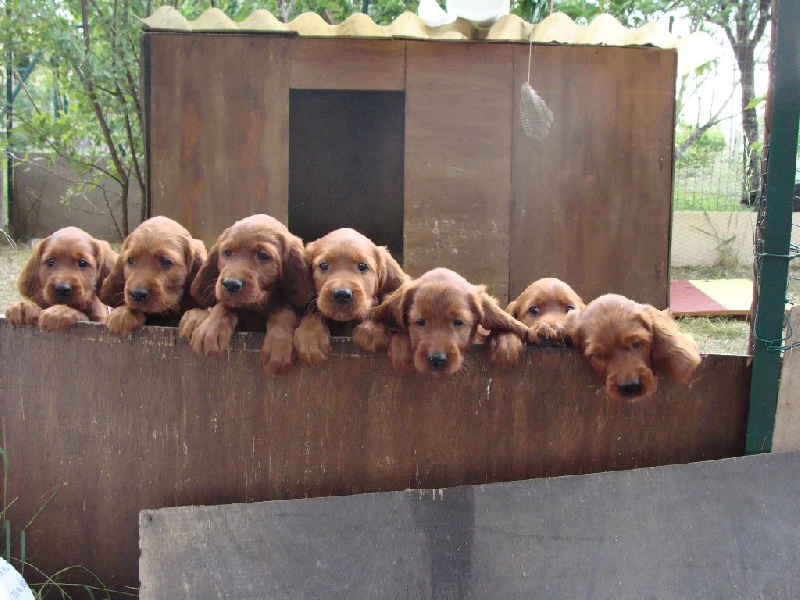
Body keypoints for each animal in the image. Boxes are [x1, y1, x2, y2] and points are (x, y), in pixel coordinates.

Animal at [178, 214, 312, 376]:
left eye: (263, 255)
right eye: (227, 252)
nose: (230, 284)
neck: (255, 308)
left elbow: (283, 309)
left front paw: (279, 345)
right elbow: (223, 306)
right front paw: (210, 328)